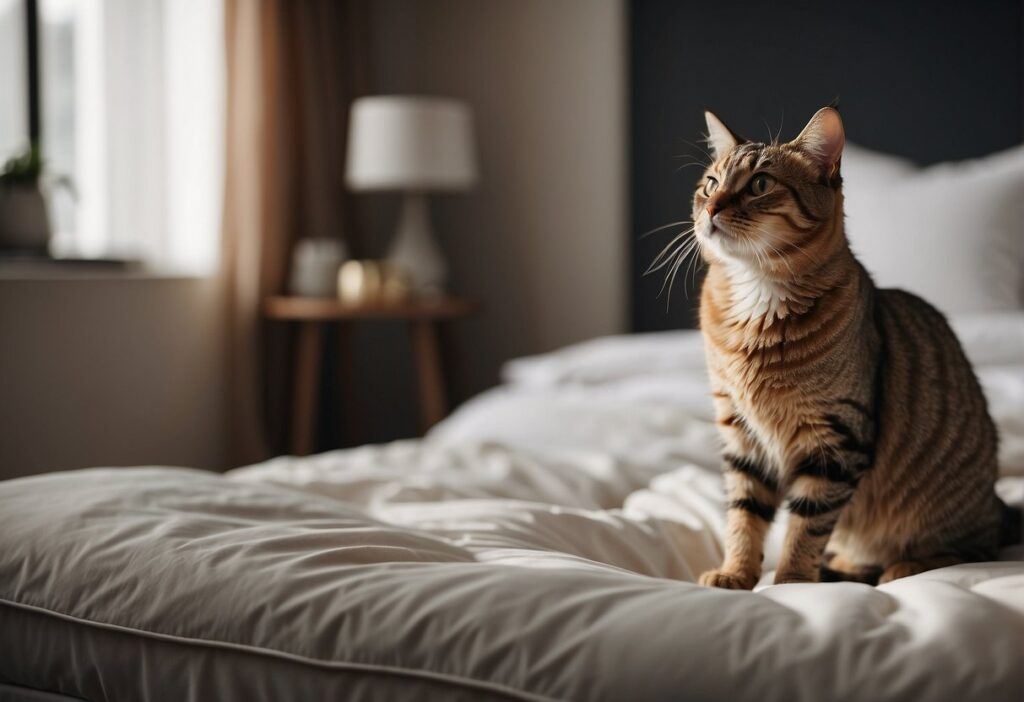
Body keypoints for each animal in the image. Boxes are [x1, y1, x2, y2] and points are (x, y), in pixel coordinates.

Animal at [684, 108, 1019, 589]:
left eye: (760, 184)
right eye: (710, 184)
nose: (711, 208)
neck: (757, 303)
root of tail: (996, 505)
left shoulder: (836, 440)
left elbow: (806, 525)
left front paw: (790, 585)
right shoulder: (741, 433)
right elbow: (744, 515)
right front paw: (737, 574)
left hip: (951, 516)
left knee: (972, 551)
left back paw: (903, 566)